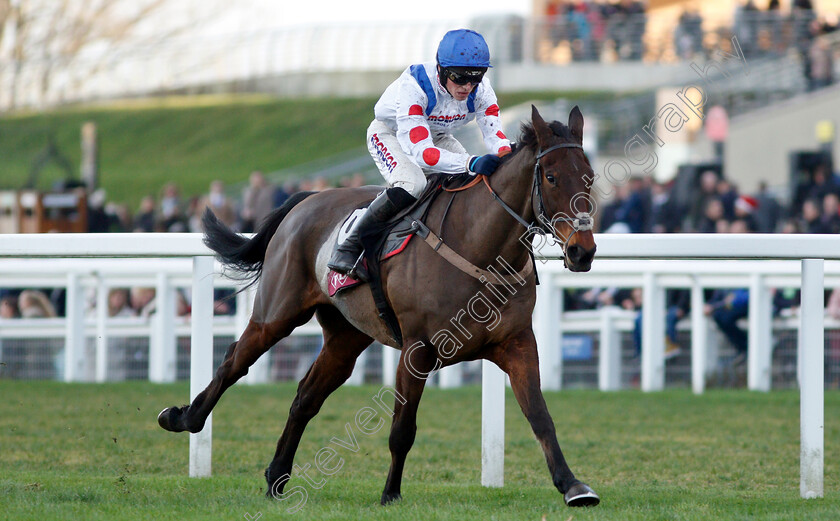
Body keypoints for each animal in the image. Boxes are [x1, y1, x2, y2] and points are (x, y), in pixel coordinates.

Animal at [158, 106, 600, 508]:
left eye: (589, 177)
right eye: (551, 177)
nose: (582, 252)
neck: (479, 246)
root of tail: (306, 199)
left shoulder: (517, 343)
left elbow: (540, 416)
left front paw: (573, 486)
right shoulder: (417, 349)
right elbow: (402, 429)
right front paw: (390, 493)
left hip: (346, 337)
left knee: (305, 398)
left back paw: (277, 478)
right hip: (277, 314)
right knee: (234, 362)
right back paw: (183, 417)